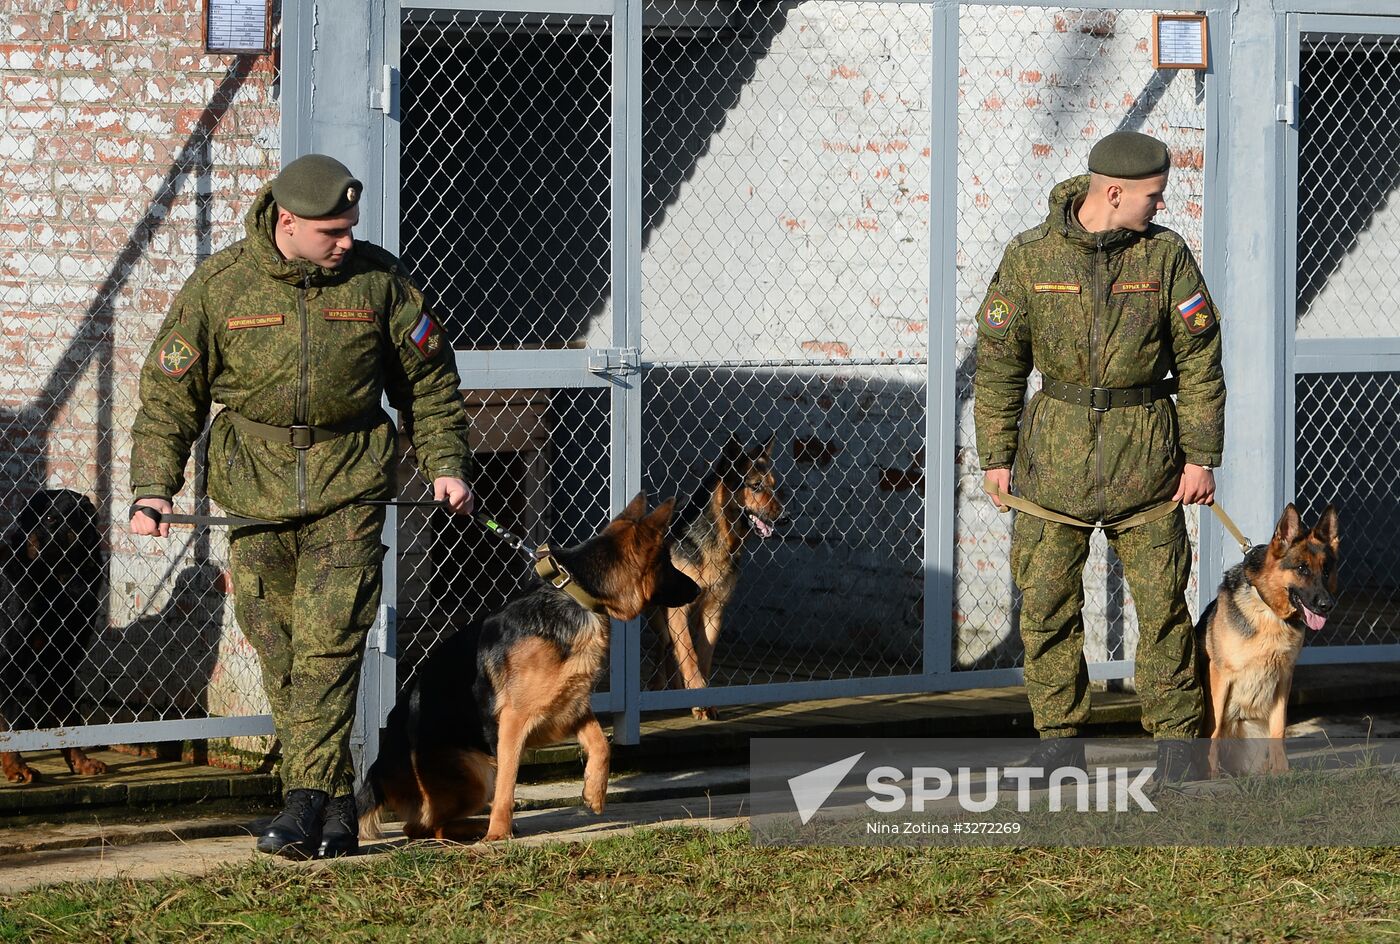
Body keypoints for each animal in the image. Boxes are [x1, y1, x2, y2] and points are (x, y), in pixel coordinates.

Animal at [1, 484, 109, 778]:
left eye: (51, 518)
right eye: (30, 519)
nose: (29, 543)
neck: (58, 583)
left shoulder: (63, 663)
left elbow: (68, 716)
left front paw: (81, 761)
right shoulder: (9, 662)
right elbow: (8, 721)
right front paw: (16, 766)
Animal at [355, 493, 694, 840]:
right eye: (667, 563)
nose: (697, 589)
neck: (578, 596)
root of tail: (378, 769)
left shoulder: (571, 706)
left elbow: (602, 745)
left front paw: (594, 793)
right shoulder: (513, 722)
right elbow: (509, 782)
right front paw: (498, 834)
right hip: (477, 772)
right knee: (422, 827)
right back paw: (479, 828)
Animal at [649, 436, 784, 722]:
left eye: (774, 485)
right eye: (755, 486)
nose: (786, 517)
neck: (719, 539)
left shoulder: (714, 611)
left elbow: (703, 655)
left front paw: (702, 699)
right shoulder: (678, 610)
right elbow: (688, 654)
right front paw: (696, 693)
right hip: (658, 615)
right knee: (665, 643)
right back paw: (657, 684)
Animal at [1198, 498, 1338, 773]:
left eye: (1326, 570)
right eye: (1302, 569)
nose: (1327, 606)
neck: (1270, 611)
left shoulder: (1284, 678)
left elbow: (1278, 729)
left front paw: (1281, 771)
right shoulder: (1220, 675)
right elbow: (1215, 730)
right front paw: (1211, 775)